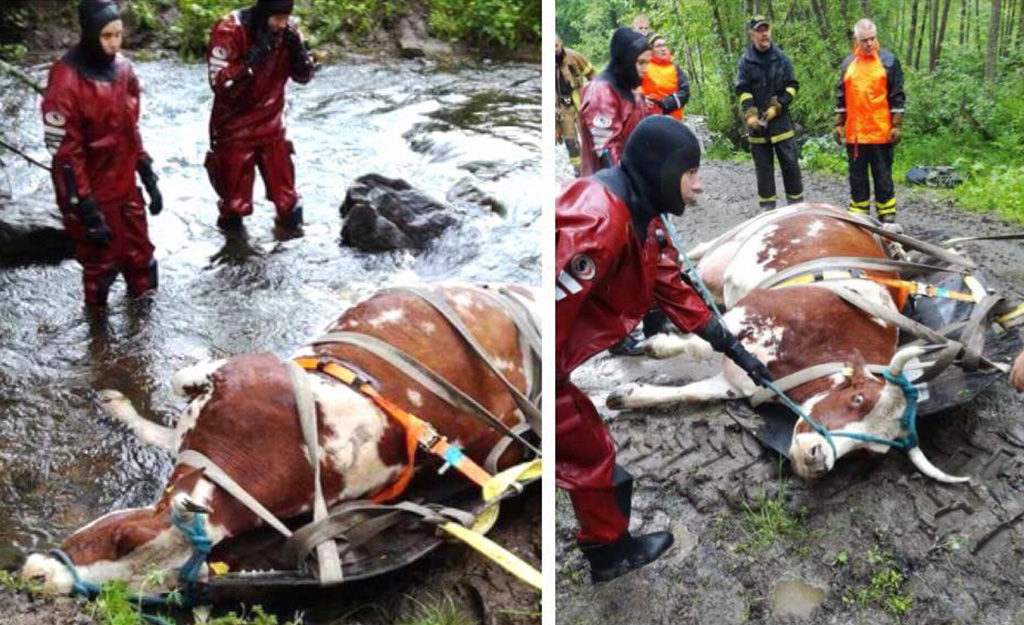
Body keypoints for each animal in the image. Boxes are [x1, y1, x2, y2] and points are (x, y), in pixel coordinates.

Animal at [19, 282, 540, 594]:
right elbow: (173, 405)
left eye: (122, 542)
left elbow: (178, 386)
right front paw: (118, 405)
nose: (36, 577)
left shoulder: (249, 368)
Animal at [602, 204, 962, 481]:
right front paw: (657, 346)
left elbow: (692, 392)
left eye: (870, 452)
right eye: (858, 399)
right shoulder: (752, 312)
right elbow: (703, 342)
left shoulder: (738, 381)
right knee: (690, 253)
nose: (818, 460)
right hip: (739, 235)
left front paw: (629, 396)